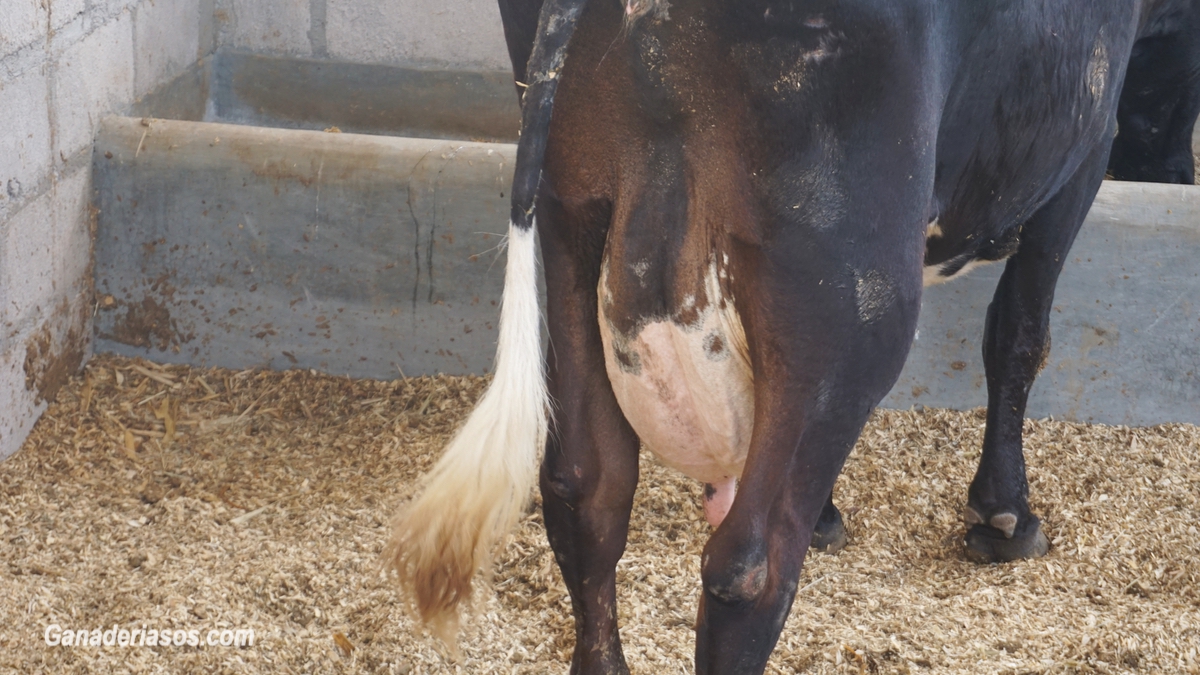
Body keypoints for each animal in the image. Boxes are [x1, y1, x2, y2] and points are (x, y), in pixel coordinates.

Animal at [386, 1, 1190, 672]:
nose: (1182, 176)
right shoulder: (1083, 149)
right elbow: (1020, 332)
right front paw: (1006, 514)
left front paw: (834, 510)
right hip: (850, 288)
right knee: (752, 564)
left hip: (571, 221)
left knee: (588, 494)